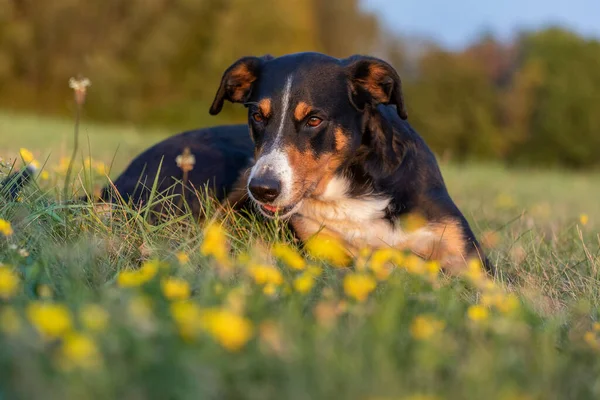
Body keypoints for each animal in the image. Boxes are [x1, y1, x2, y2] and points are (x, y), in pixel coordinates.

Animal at [2, 52, 490, 272]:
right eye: (257, 115)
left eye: (314, 119)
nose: (263, 190)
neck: (352, 185)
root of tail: (118, 180)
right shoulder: (322, 253)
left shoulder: (469, 259)